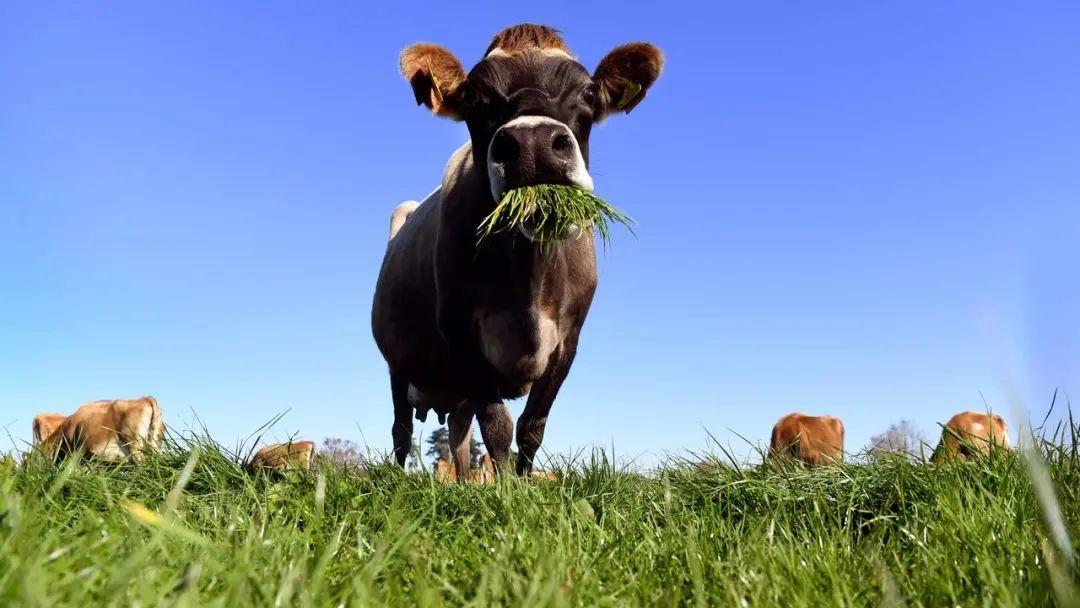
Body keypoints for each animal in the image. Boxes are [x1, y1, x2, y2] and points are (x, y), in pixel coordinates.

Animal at [375, 23, 665, 477]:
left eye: (587, 92)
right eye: (473, 97)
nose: (533, 143)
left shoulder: (567, 341)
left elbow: (532, 426)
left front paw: (526, 482)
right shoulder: (460, 331)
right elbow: (498, 424)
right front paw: (508, 488)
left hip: (454, 391)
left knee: (458, 436)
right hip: (398, 364)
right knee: (401, 431)